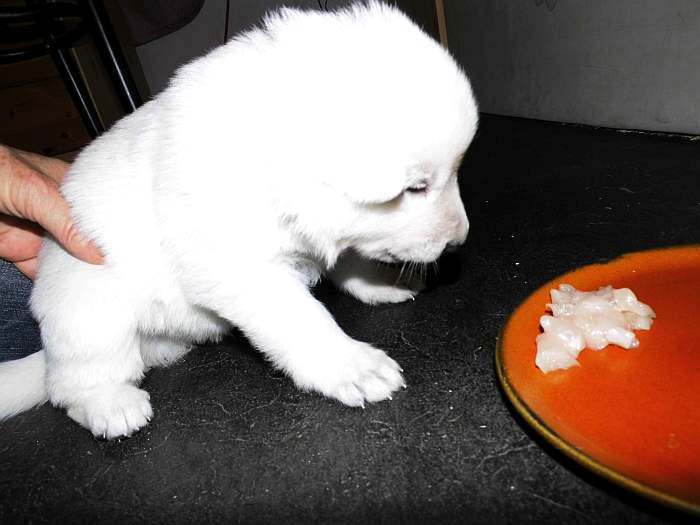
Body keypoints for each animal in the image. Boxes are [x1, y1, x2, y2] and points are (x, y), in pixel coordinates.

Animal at [0, 2, 476, 436]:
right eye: (416, 187)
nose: (459, 241)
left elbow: (348, 257)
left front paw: (379, 283)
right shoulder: (242, 268)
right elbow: (304, 318)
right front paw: (353, 365)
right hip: (91, 312)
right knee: (74, 382)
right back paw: (109, 403)